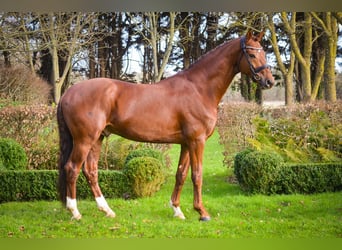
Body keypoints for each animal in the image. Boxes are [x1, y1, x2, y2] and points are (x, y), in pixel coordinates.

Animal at [57, 29, 274, 221]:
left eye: (263, 51)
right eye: (252, 54)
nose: (269, 81)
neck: (199, 88)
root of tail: (68, 93)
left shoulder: (186, 143)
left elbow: (181, 174)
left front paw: (177, 210)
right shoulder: (197, 141)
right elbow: (197, 175)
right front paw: (202, 212)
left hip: (98, 138)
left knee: (90, 171)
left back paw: (107, 210)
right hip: (84, 140)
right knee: (72, 169)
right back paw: (75, 212)